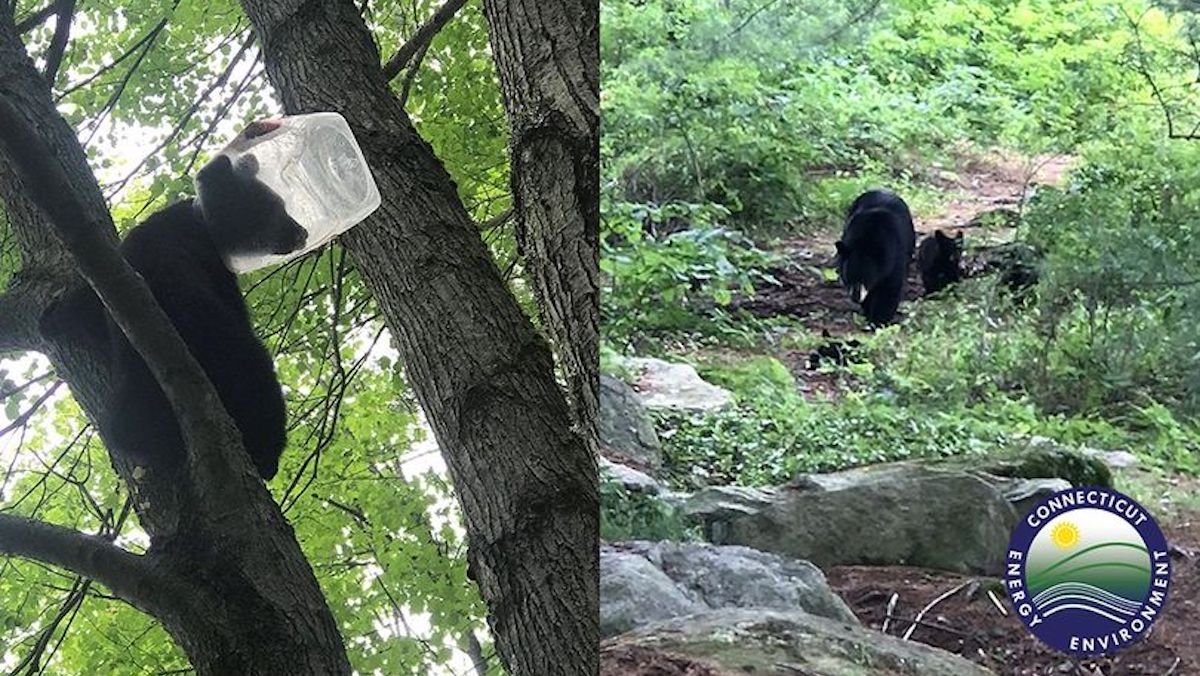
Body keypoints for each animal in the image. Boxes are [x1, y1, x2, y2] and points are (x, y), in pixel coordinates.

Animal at [43, 146, 306, 480]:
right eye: (276, 206)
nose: (301, 231)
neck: (199, 223)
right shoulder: (211, 271)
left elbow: (87, 306)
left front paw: (55, 317)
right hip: (222, 344)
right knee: (253, 371)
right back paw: (266, 452)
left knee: (125, 426)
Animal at [835, 189, 916, 326]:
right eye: (848, 277)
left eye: (866, 278)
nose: (855, 297)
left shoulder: (894, 257)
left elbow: (889, 289)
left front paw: (879, 321)